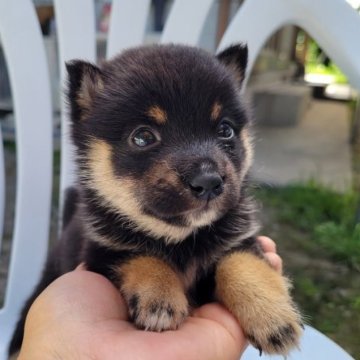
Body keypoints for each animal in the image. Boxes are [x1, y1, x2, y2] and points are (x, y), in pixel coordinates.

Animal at [9, 43, 300, 356]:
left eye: (225, 130)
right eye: (143, 137)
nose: (208, 181)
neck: (181, 239)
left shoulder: (237, 239)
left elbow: (242, 263)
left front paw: (271, 314)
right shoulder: (103, 251)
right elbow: (142, 255)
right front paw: (159, 296)